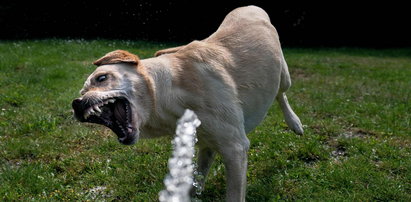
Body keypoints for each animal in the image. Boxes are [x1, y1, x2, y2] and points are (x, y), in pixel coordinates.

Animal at [72, 5, 302, 201]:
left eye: (101, 78)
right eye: (81, 92)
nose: (77, 103)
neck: (169, 93)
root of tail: (250, 6)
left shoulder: (235, 147)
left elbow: (234, 194)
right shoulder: (208, 143)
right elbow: (197, 177)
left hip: (283, 75)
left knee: (281, 93)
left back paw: (295, 123)